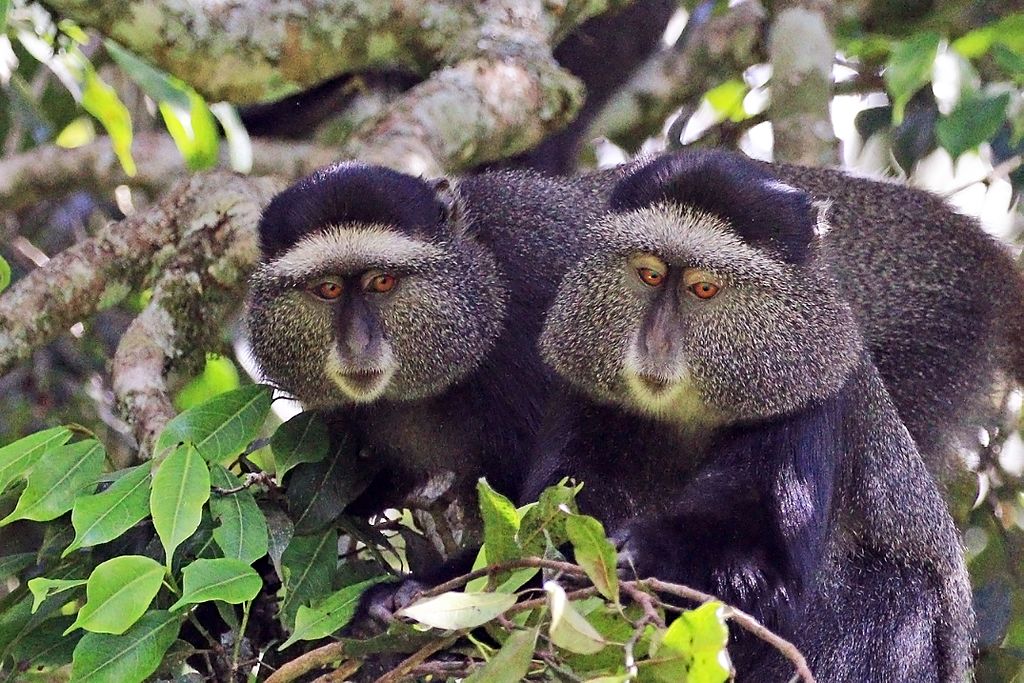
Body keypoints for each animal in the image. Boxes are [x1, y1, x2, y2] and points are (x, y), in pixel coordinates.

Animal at [524, 150, 974, 680]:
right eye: (650, 275)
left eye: (703, 289)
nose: (655, 343)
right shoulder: (587, 392)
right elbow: (553, 502)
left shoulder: (806, 404)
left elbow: (764, 566)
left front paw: (643, 553)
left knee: (894, 595)